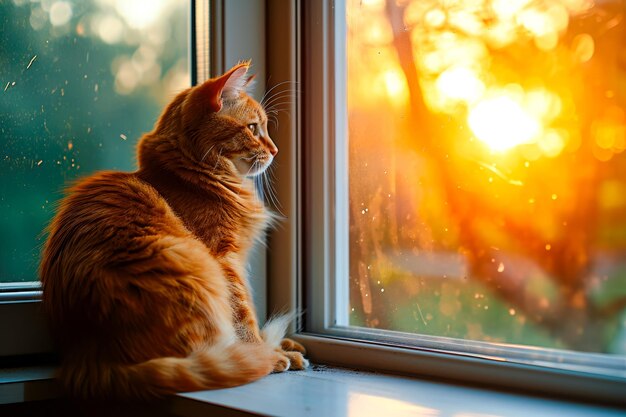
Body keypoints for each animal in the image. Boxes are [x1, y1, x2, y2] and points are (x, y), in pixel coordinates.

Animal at [39, 61, 308, 396]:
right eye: (252, 128)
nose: (275, 150)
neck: (193, 176)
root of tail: (92, 359)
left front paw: (281, 346)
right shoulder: (226, 260)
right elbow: (244, 314)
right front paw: (268, 350)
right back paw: (269, 356)